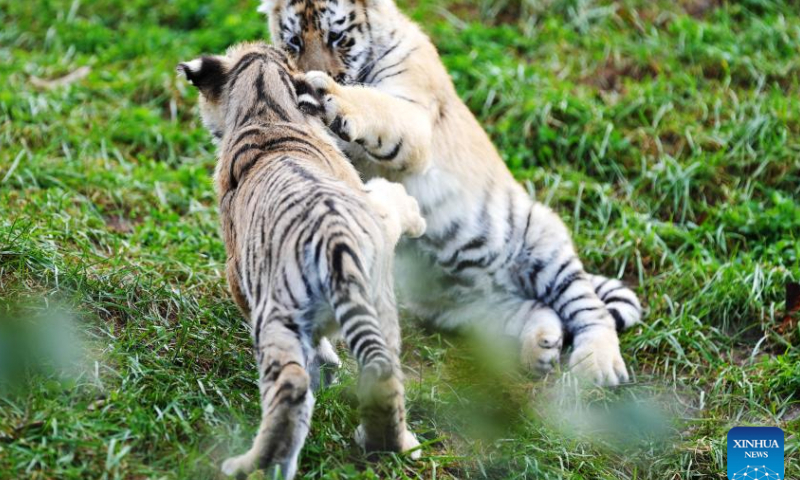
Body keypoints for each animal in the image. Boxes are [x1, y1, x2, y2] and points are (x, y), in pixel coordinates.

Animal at [178, 42, 425, 478]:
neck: (267, 111)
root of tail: (335, 243)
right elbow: (391, 200)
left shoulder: (237, 275)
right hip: (377, 309)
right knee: (379, 374)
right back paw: (398, 446)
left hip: (278, 318)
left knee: (292, 388)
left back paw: (255, 464)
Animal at [257, 0, 643, 386]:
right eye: (293, 41)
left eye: (337, 37)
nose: (305, 73)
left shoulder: (413, 115)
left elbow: (377, 106)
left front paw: (327, 95)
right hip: (474, 312)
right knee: (537, 308)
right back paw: (541, 347)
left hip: (542, 240)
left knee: (589, 308)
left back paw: (598, 365)